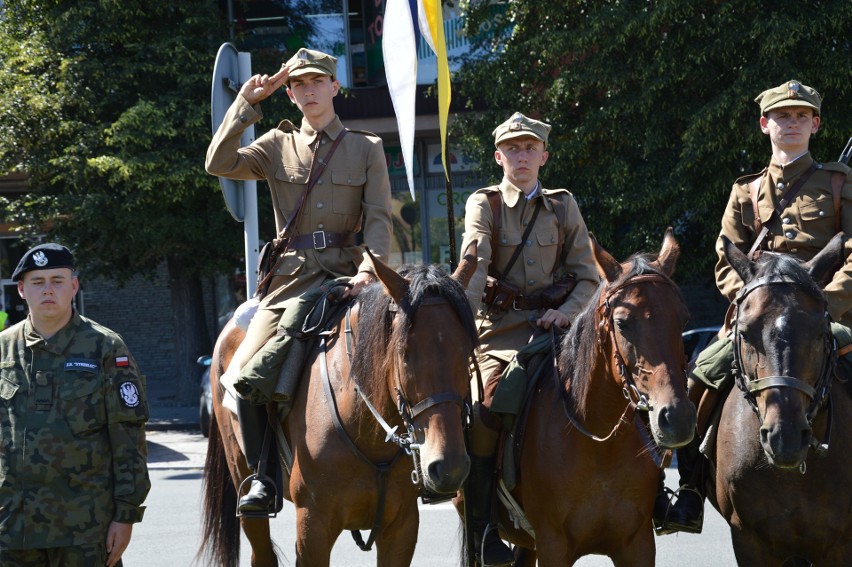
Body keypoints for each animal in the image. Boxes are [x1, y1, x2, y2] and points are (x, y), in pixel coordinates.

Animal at [198, 253, 480, 567]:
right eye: (404, 353)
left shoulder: (402, 527)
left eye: (467, 351)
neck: (366, 430)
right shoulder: (313, 527)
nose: (449, 467)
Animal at [496, 229, 696, 564]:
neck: (599, 443)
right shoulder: (553, 546)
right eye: (622, 323)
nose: (678, 418)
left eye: (683, 319)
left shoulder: (637, 546)